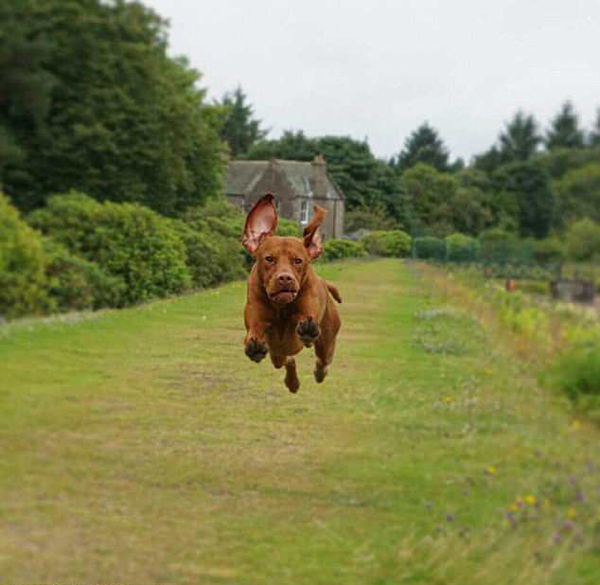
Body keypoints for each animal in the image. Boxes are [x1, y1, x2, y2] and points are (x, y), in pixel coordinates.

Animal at [240, 193, 342, 392]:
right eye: (269, 258)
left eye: (298, 260)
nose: (285, 278)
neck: (281, 307)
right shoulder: (258, 321)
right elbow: (256, 330)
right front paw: (254, 347)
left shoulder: (305, 314)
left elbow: (303, 319)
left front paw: (307, 329)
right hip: (278, 353)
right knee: (287, 359)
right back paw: (292, 382)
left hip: (327, 339)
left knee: (322, 360)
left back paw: (317, 368)